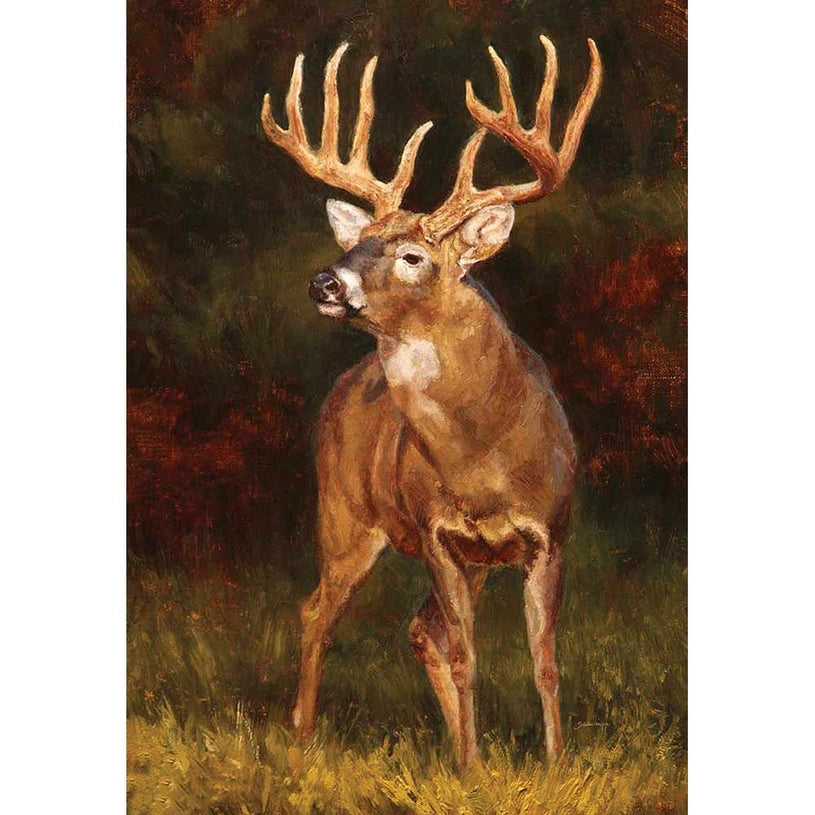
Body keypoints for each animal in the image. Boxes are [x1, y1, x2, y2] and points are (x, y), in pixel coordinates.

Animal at [261, 33, 601, 771]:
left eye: (413, 256)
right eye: (357, 241)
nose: (325, 281)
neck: (483, 456)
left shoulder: (550, 534)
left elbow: (544, 660)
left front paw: (554, 763)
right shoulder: (440, 534)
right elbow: (469, 656)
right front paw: (473, 769)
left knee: (419, 630)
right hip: (343, 510)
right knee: (317, 609)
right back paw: (302, 734)